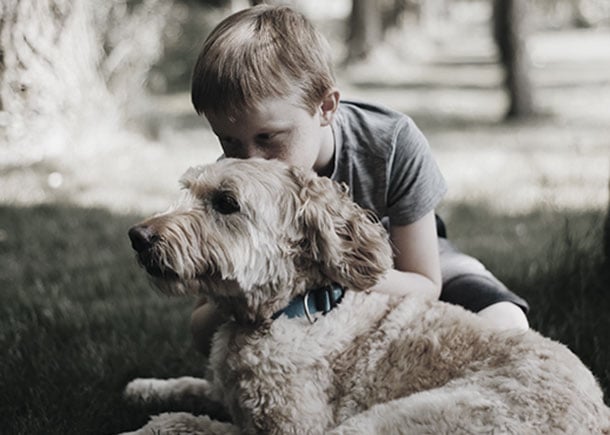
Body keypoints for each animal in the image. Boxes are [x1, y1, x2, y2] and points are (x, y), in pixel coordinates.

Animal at [121, 158, 604, 434]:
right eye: (189, 191)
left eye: (225, 202)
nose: (137, 237)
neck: (294, 307)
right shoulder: (229, 392)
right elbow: (195, 385)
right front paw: (149, 387)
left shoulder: (293, 431)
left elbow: (189, 422)